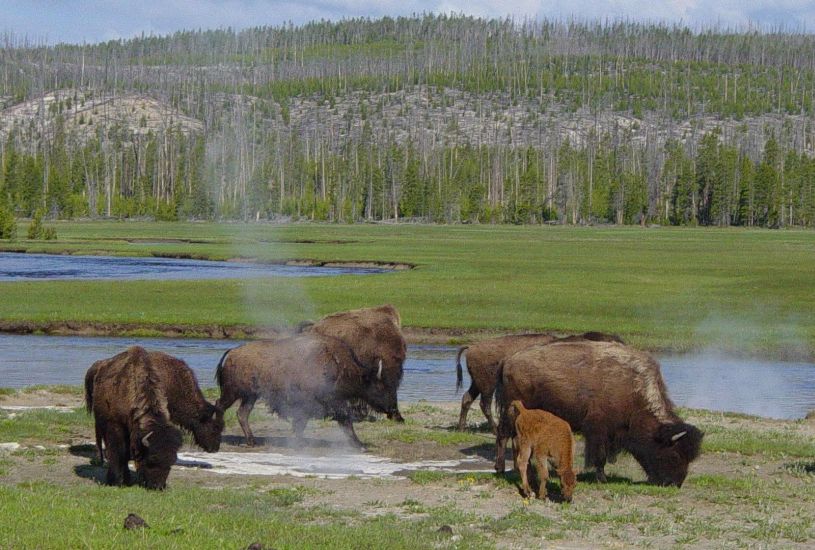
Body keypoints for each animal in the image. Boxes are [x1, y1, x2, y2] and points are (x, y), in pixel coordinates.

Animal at [84, 348, 182, 490]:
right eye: (152, 459)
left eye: (172, 461)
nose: (158, 486)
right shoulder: (116, 427)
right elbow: (119, 453)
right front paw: (116, 481)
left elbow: (125, 455)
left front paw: (126, 479)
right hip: (99, 421)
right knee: (100, 439)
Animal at [214, 332, 398, 448]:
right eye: (380, 386)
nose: (393, 409)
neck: (339, 365)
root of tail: (232, 352)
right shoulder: (324, 403)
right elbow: (344, 421)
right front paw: (359, 445)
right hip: (233, 392)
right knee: (220, 405)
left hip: (250, 396)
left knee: (242, 413)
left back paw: (252, 442)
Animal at [452, 334, 624, 434]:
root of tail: (472, 347)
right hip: (487, 385)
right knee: (484, 404)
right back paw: (493, 430)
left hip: (477, 383)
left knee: (467, 398)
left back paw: (462, 428)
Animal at [494, 342, 704, 490]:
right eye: (675, 454)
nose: (674, 484)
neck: (632, 391)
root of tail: (508, 361)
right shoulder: (599, 430)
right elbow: (599, 456)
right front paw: (601, 478)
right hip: (511, 412)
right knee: (503, 436)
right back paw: (501, 468)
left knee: (515, 440)